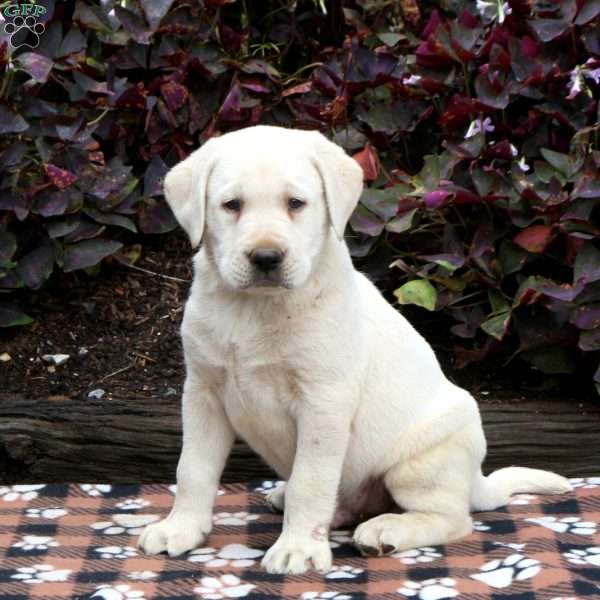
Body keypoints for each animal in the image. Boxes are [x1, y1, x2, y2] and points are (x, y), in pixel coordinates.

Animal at [137, 125, 572, 572]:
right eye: (231, 205)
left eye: (296, 203)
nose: (266, 257)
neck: (256, 308)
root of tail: (475, 481)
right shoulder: (203, 393)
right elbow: (193, 469)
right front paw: (181, 528)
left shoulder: (323, 400)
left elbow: (310, 481)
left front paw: (297, 549)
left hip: (421, 461)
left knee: (452, 518)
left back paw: (386, 530)